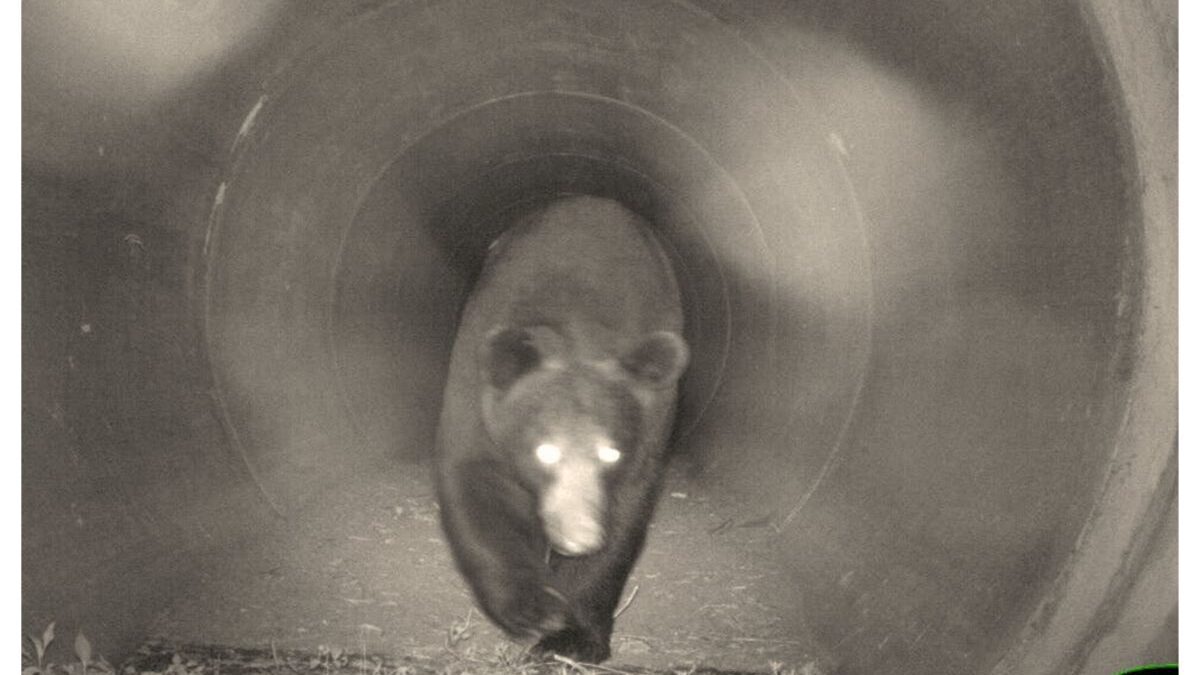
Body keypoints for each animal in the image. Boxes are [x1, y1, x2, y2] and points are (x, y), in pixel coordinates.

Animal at [436, 194, 691, 662]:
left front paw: (572, 636)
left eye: (611, 452)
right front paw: (532, 606)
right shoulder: (474, 389)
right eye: (545, 450)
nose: (579, 536)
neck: (578, 328)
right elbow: (474, 483)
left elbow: (625, 516)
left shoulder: (651, 427)